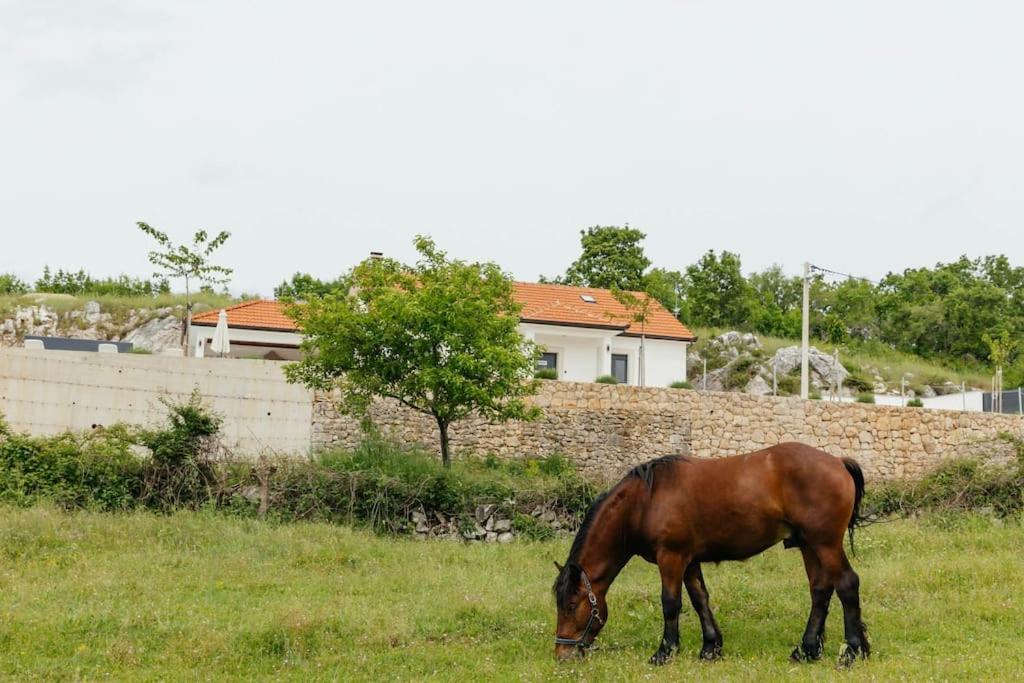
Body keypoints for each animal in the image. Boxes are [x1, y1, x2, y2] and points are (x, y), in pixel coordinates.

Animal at [557, 444, 868, 667]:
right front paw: (710, 648)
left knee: (847, 584)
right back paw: (807, 649)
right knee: (820, 591)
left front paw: (664, 652)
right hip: (808, 545)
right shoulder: (689, 561)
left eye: (571, 605)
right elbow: (699, 600)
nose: (561, 654)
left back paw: (852, 651)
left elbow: (670, 603)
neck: (645, 500)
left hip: (825, 544)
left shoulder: (670, 558)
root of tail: (837, 461)